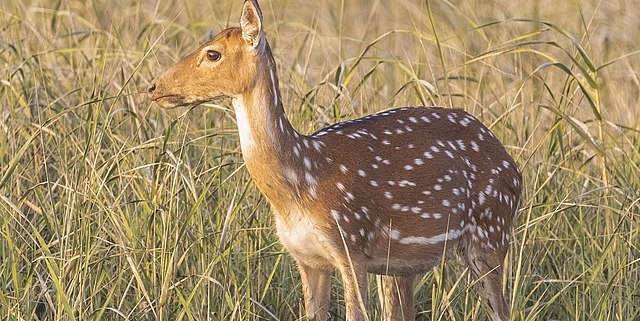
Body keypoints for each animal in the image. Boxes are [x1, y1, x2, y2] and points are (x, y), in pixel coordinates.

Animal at [149, 1, 520, 318]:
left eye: (212, 53)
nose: (153, 87)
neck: (300, 181)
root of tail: (513, 166)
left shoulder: (351, 245)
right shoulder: (306, 258)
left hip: (491, 232)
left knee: (501, 309)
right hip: (403, 265)